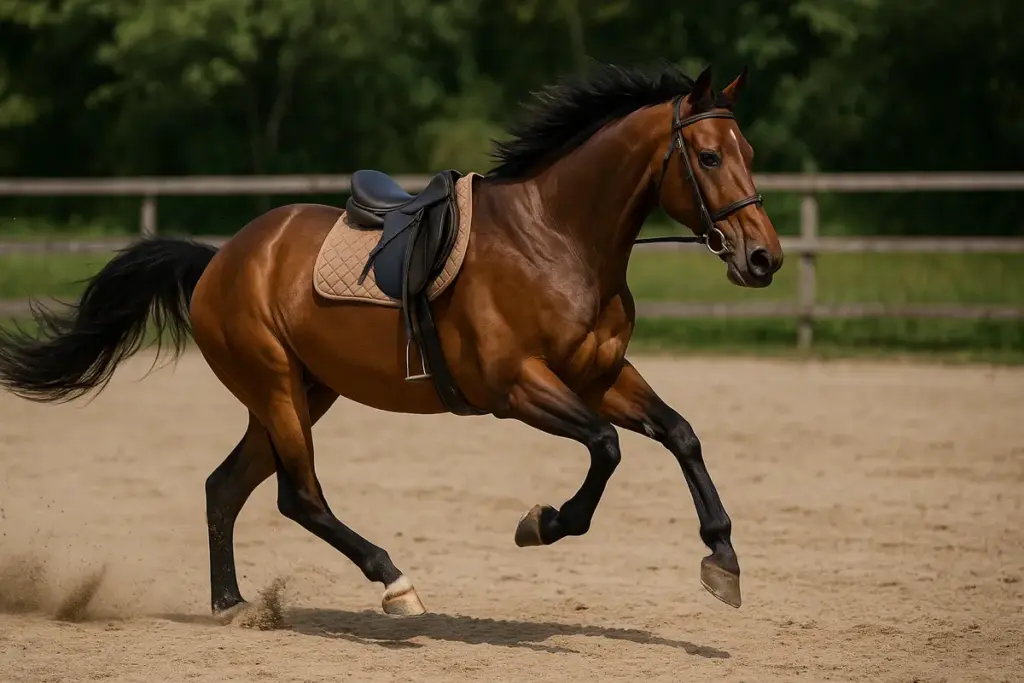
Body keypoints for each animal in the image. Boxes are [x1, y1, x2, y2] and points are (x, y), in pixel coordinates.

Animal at [0, 63, 783, 618]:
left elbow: (679, 433)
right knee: (299, 497)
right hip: (277, 388)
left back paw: (231, 604)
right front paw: (543, 522)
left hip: (303, 392)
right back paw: (395, 583)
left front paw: (723, 560)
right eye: (708, 157)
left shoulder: (600, 374)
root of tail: (218, 259)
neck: (555, 238)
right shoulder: (518, 385)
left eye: (748, 150)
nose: (763, 259)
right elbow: (607, 446)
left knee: (225, 486)